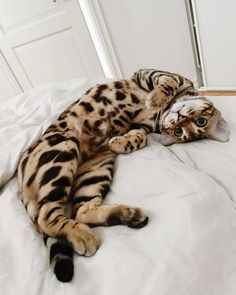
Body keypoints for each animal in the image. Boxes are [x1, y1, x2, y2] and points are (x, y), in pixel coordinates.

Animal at [16, 69, 229, 282]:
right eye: (181, 129)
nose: (178, 118)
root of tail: (19, 185)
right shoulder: (149, 74)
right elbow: (168, 83)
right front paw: (155, 99)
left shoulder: (141, 125)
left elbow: (141, 137)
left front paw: (120, 142)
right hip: (63, 148)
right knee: (46, 218)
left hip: (96, 168)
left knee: (73, 213)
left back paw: (122, 218)